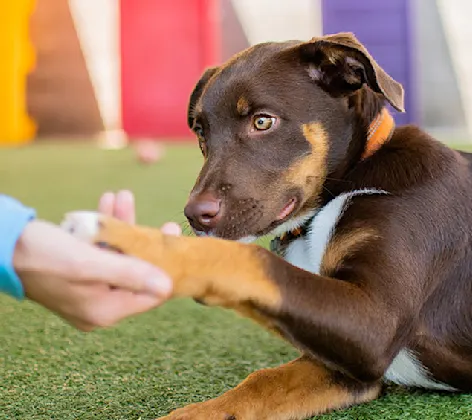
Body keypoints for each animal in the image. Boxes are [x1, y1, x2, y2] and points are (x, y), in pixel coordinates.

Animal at [60, 33, 472, 420]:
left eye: (263, 121)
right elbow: (263, 381)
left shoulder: (375, 322)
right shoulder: (351, 364)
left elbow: (248, 259)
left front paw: (132, 242)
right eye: (200, 132)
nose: (195, 215)